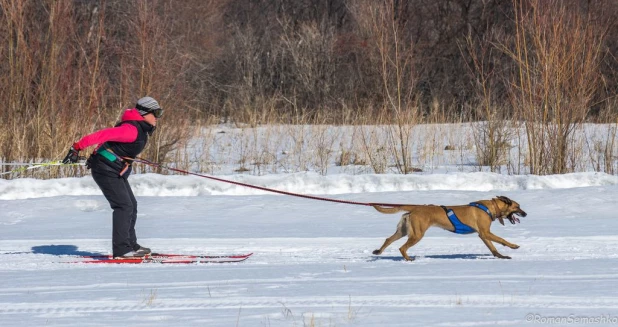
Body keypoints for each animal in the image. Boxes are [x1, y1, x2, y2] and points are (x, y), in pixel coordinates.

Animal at [370, 196, 524, 262]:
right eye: (517, 206)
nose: (525, 214)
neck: (491, 207)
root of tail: (415, 208)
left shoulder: (483, 235)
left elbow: (493, 248)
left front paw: (502, 256)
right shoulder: (486, 232)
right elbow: (501, 240)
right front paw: (513, 246)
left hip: (403, 231)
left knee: (388, 239)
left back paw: (378, 251)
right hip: (417, 234)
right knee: (402, 248)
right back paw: (408, 258)